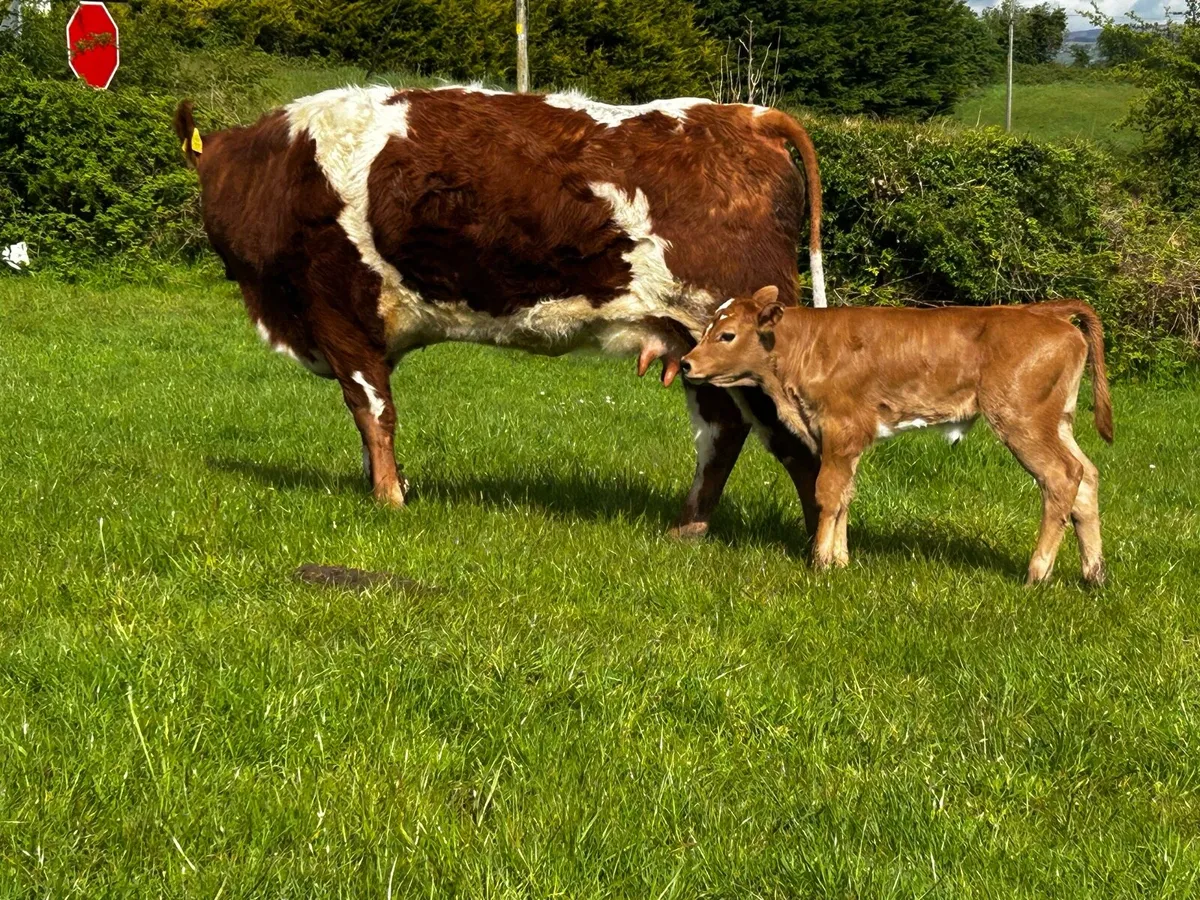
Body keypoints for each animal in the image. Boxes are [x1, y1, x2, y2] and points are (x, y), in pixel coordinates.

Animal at [174, 85, 827, 536]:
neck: (278, 170)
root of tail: (748, 116)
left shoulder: (339, 313)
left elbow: (372, 413)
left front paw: (389, 500)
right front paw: (382, 486)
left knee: (788, 436)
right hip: (701, 347)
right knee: (724, 432)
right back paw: (687, 529)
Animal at [680, 287, 1114, 585]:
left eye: (727, 335)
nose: (685, 363)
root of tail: (1042, 310)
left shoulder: (841, 427)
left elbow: (828, 494)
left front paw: (819, 563)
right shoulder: (846, 440)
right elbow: (845, 495)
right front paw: (841, 561)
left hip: (1022, 419)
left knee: (1062, 476)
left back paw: (1037, 573)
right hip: (1057, 421)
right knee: (1087, 475)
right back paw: (1093, 574)